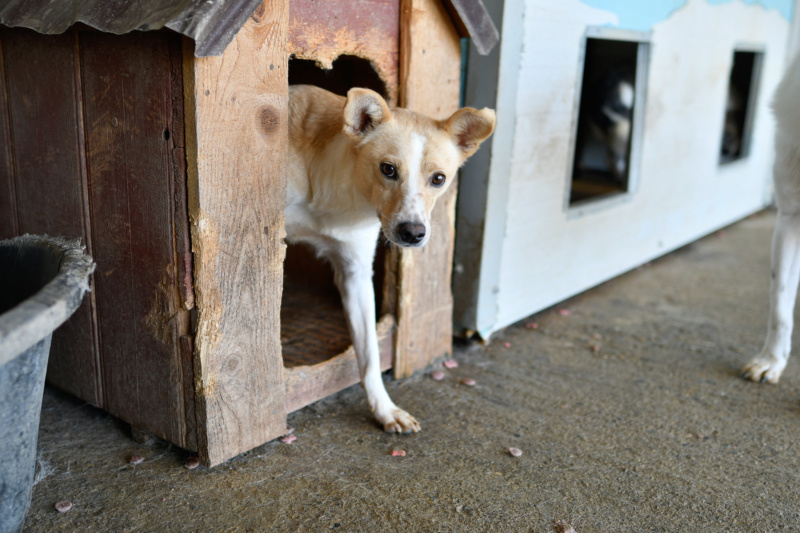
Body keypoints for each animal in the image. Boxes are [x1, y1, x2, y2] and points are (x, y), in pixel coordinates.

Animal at [284, 84, 496, 432]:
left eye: (439, 179)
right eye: (388, 169)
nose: (413, 233)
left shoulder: (355, 275)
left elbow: (369, 354)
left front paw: (384, 409)